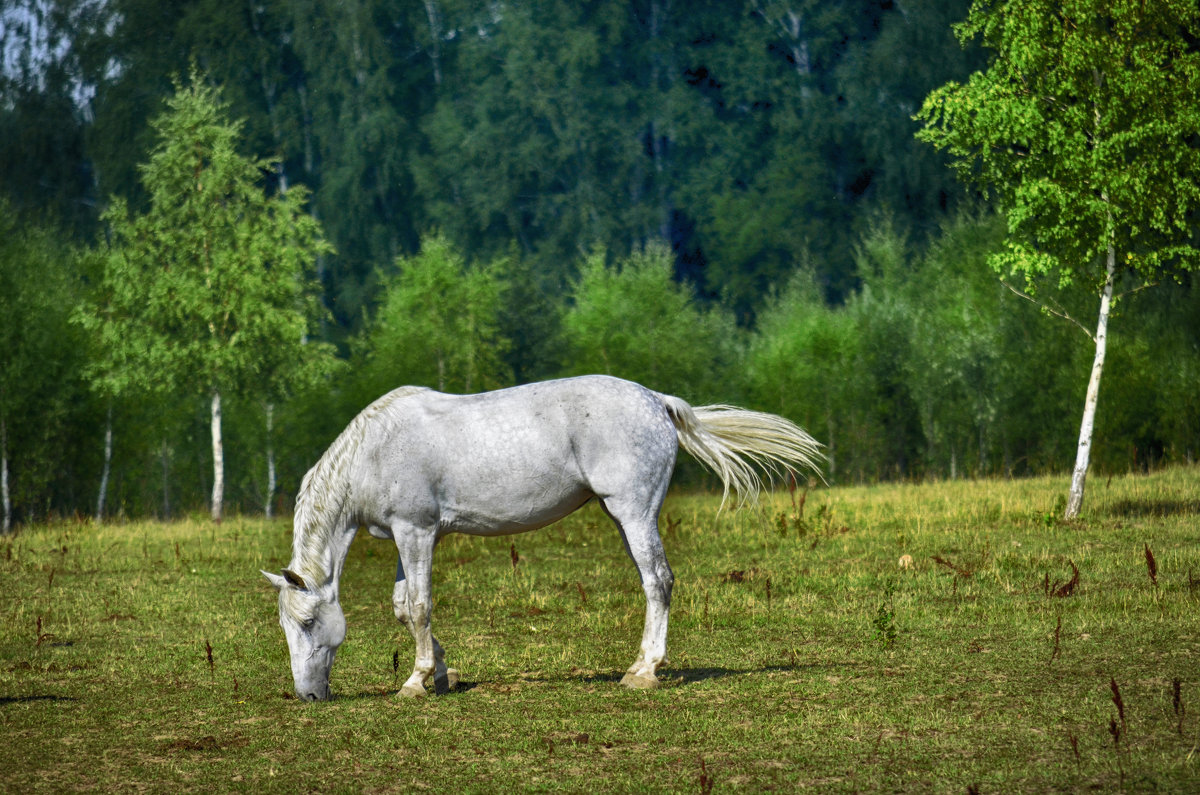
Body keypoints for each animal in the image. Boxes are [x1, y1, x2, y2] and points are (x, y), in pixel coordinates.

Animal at [262, 377, 825, 701]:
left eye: (308, 623)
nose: (308, 695)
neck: (375, 451)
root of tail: (658, 402)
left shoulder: (415, 531)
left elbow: (420, 607)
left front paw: (416, 682)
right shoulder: (409, 536)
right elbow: (405, 608)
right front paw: (443, 673)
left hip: (635, 512)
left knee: (658, 581)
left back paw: (644, 671)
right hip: (622, 516)